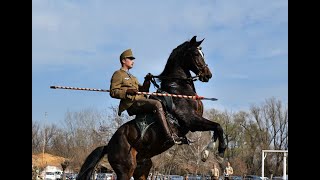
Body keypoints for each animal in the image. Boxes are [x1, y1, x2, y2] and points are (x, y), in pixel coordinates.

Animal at [76, 35, 226, 179]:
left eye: (203, 53)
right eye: (195, 54)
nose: (208, 75)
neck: (178, 88)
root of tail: (109, 145)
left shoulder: (196, 120)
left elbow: (216, 129)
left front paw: (208, 152)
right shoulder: (191, 121)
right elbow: (218, 126)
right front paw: (219, 152)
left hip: (142, 168)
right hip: (126, 170)